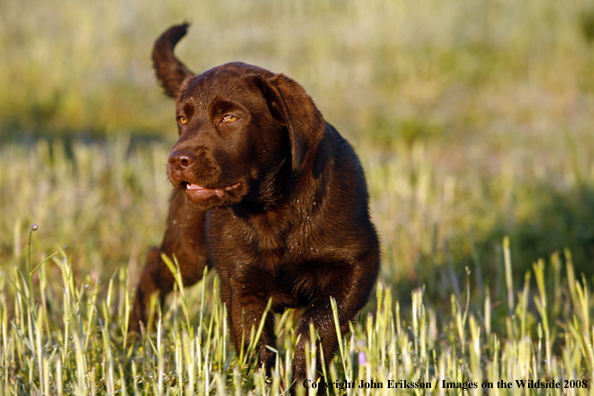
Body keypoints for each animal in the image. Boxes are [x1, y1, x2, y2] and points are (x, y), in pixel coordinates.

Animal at [130, 22, 380, 380]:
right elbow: (253, 340)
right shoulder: (239, 281)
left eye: (230, 118)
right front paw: (261, 381)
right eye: (182, 118)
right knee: (154, 264)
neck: (274, 208)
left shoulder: (358, 264)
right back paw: (136, 333)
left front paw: (302, 378)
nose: (177, 160)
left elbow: (318, 324)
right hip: (189, 250)